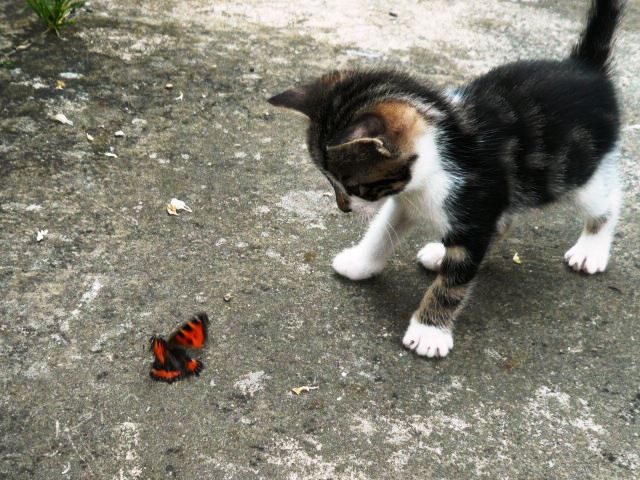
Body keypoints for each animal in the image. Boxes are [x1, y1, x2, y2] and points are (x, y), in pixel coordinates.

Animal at [268, 0, 624, 358]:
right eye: (330, 181)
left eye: (355, 186)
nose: (343, 208)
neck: (435, 163)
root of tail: (585, 66)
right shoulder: (410, 200)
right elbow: (382, 230)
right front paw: (360, 263)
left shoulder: (476, 205)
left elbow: (453, 283)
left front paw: (429, 331)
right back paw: (440, 253)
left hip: (576, 174)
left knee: (607, 199)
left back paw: (591, 249)